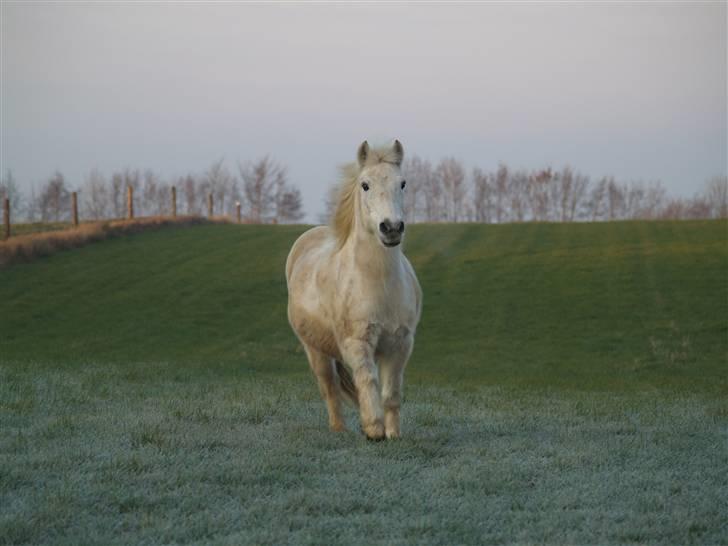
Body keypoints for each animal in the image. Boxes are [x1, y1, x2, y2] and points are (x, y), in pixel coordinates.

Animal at [284, 139, 420, 438]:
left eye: (403, 183)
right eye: (365, 185)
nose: (391, 228)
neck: (377, 282)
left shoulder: (400, 344)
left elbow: (391, 393)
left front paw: (393, 434)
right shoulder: (358, 343)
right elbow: (367, 382)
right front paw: (374, 431)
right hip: (315, 351)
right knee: (330, 387)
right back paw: (338, 429)